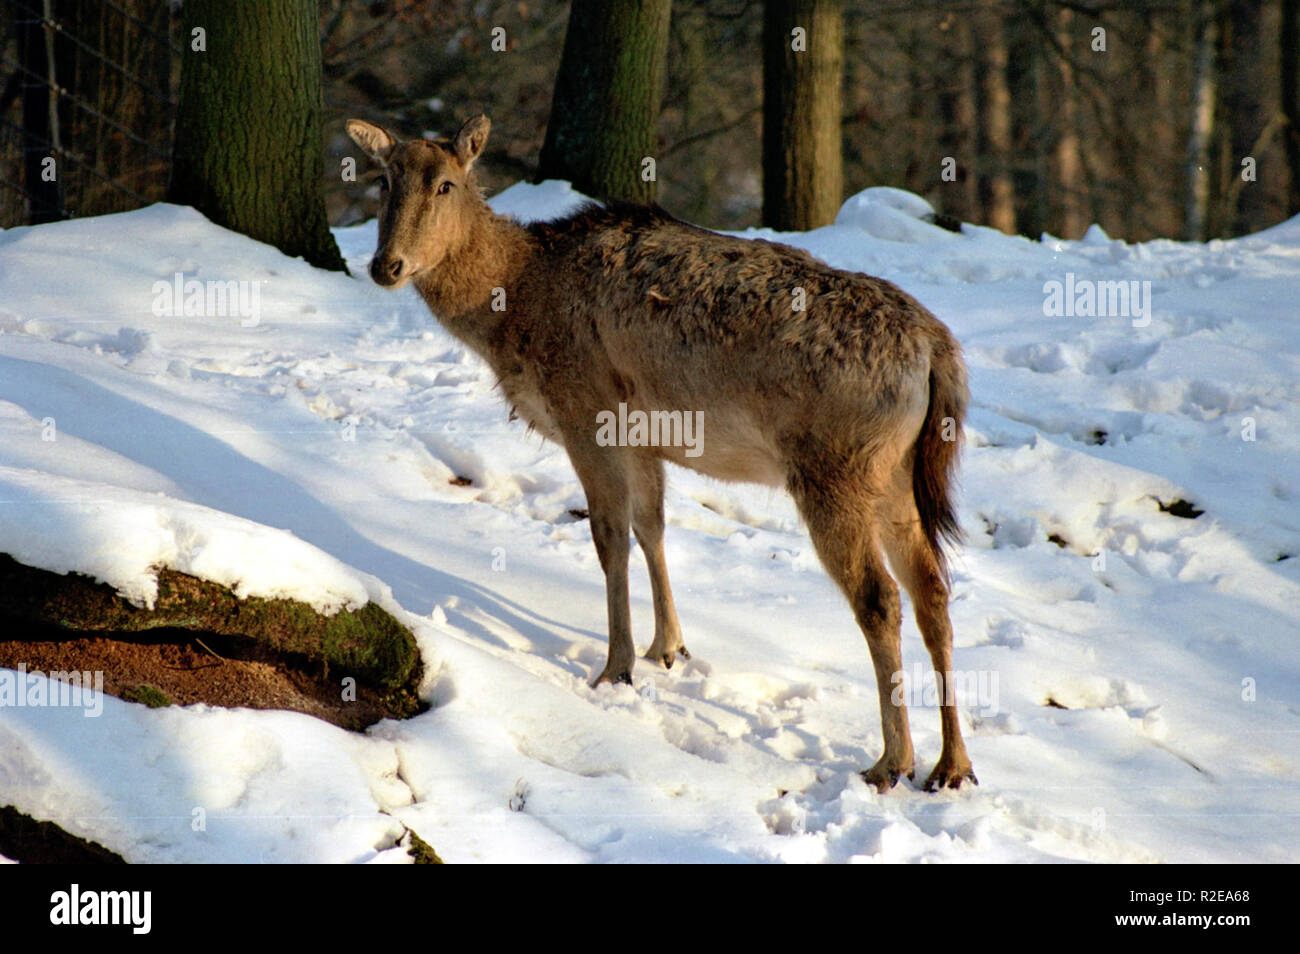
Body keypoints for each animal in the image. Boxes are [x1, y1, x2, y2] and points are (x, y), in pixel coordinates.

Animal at [345, 115, 977, 795]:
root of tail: (938, 350)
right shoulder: (644, 431)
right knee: (934, 589)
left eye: (445, 184)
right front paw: (667, 648)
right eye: (383, 181)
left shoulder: (586, 409)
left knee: (879, 597)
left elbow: (609, 536)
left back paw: (891, 762)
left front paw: (614, 667)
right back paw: (953, 766)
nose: (385, 265)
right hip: (898, 473)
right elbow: (652, 525)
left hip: (835, 467)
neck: (516, 304)